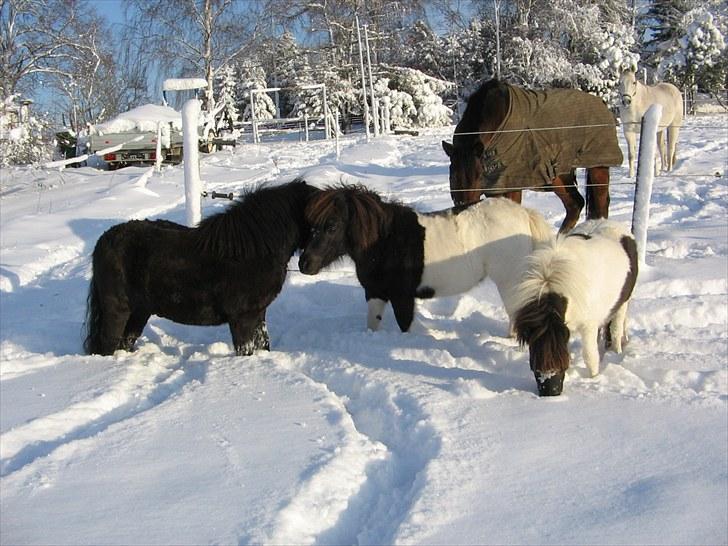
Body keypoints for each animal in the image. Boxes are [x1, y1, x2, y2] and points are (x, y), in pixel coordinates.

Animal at [84, 178, 318, 354]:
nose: (308, 262)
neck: (252, 250)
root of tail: (104, 240)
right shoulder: (242, 318)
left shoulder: (258, 314)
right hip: (117, 311)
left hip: (139, 312)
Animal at [298, 185, 556, 332]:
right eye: (310, 225)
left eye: (332, 226)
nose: (304, 264)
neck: (385, 242)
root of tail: (524, 214)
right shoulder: (375, 293)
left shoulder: (402, 298)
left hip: (510, 281)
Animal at [440, 77, 624, 231]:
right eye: (452, 175)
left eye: (478, 175)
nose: (462, 207)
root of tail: (602, 103)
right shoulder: (496, 186)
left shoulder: (513, 185)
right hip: (558, 174)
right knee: (575, 205)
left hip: (598, 166)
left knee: (600, 206)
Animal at [512, 218, 636, 396]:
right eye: (535, 365)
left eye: (561, 365)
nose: (551, 393)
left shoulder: (587, 325)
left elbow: (590, 356)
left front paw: (594, 379)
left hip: (623, 303)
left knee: (616, 330)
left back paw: (617, 351)